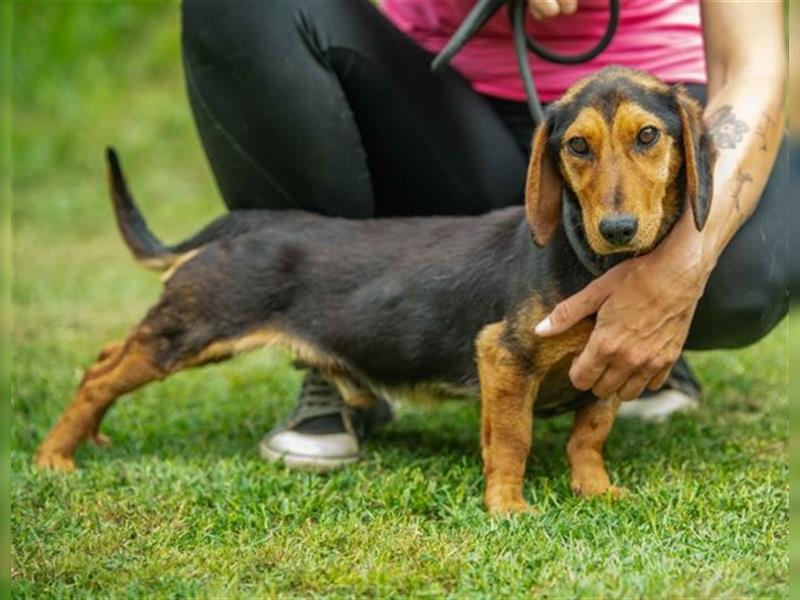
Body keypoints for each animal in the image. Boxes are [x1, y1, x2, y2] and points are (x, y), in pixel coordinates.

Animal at [36, 67, 712, 516]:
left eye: (648, 137)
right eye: (577, 146)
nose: (618, 229)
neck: (589, 261)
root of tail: (245, 222)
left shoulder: (609, 368)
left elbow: (588, 434)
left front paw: (595, 489)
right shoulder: (504, 355)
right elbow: (512, 438)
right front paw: (507, 507)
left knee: (105, 358)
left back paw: (89, 437)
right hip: (195, 327)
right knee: (99, 375)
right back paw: (55, 457)